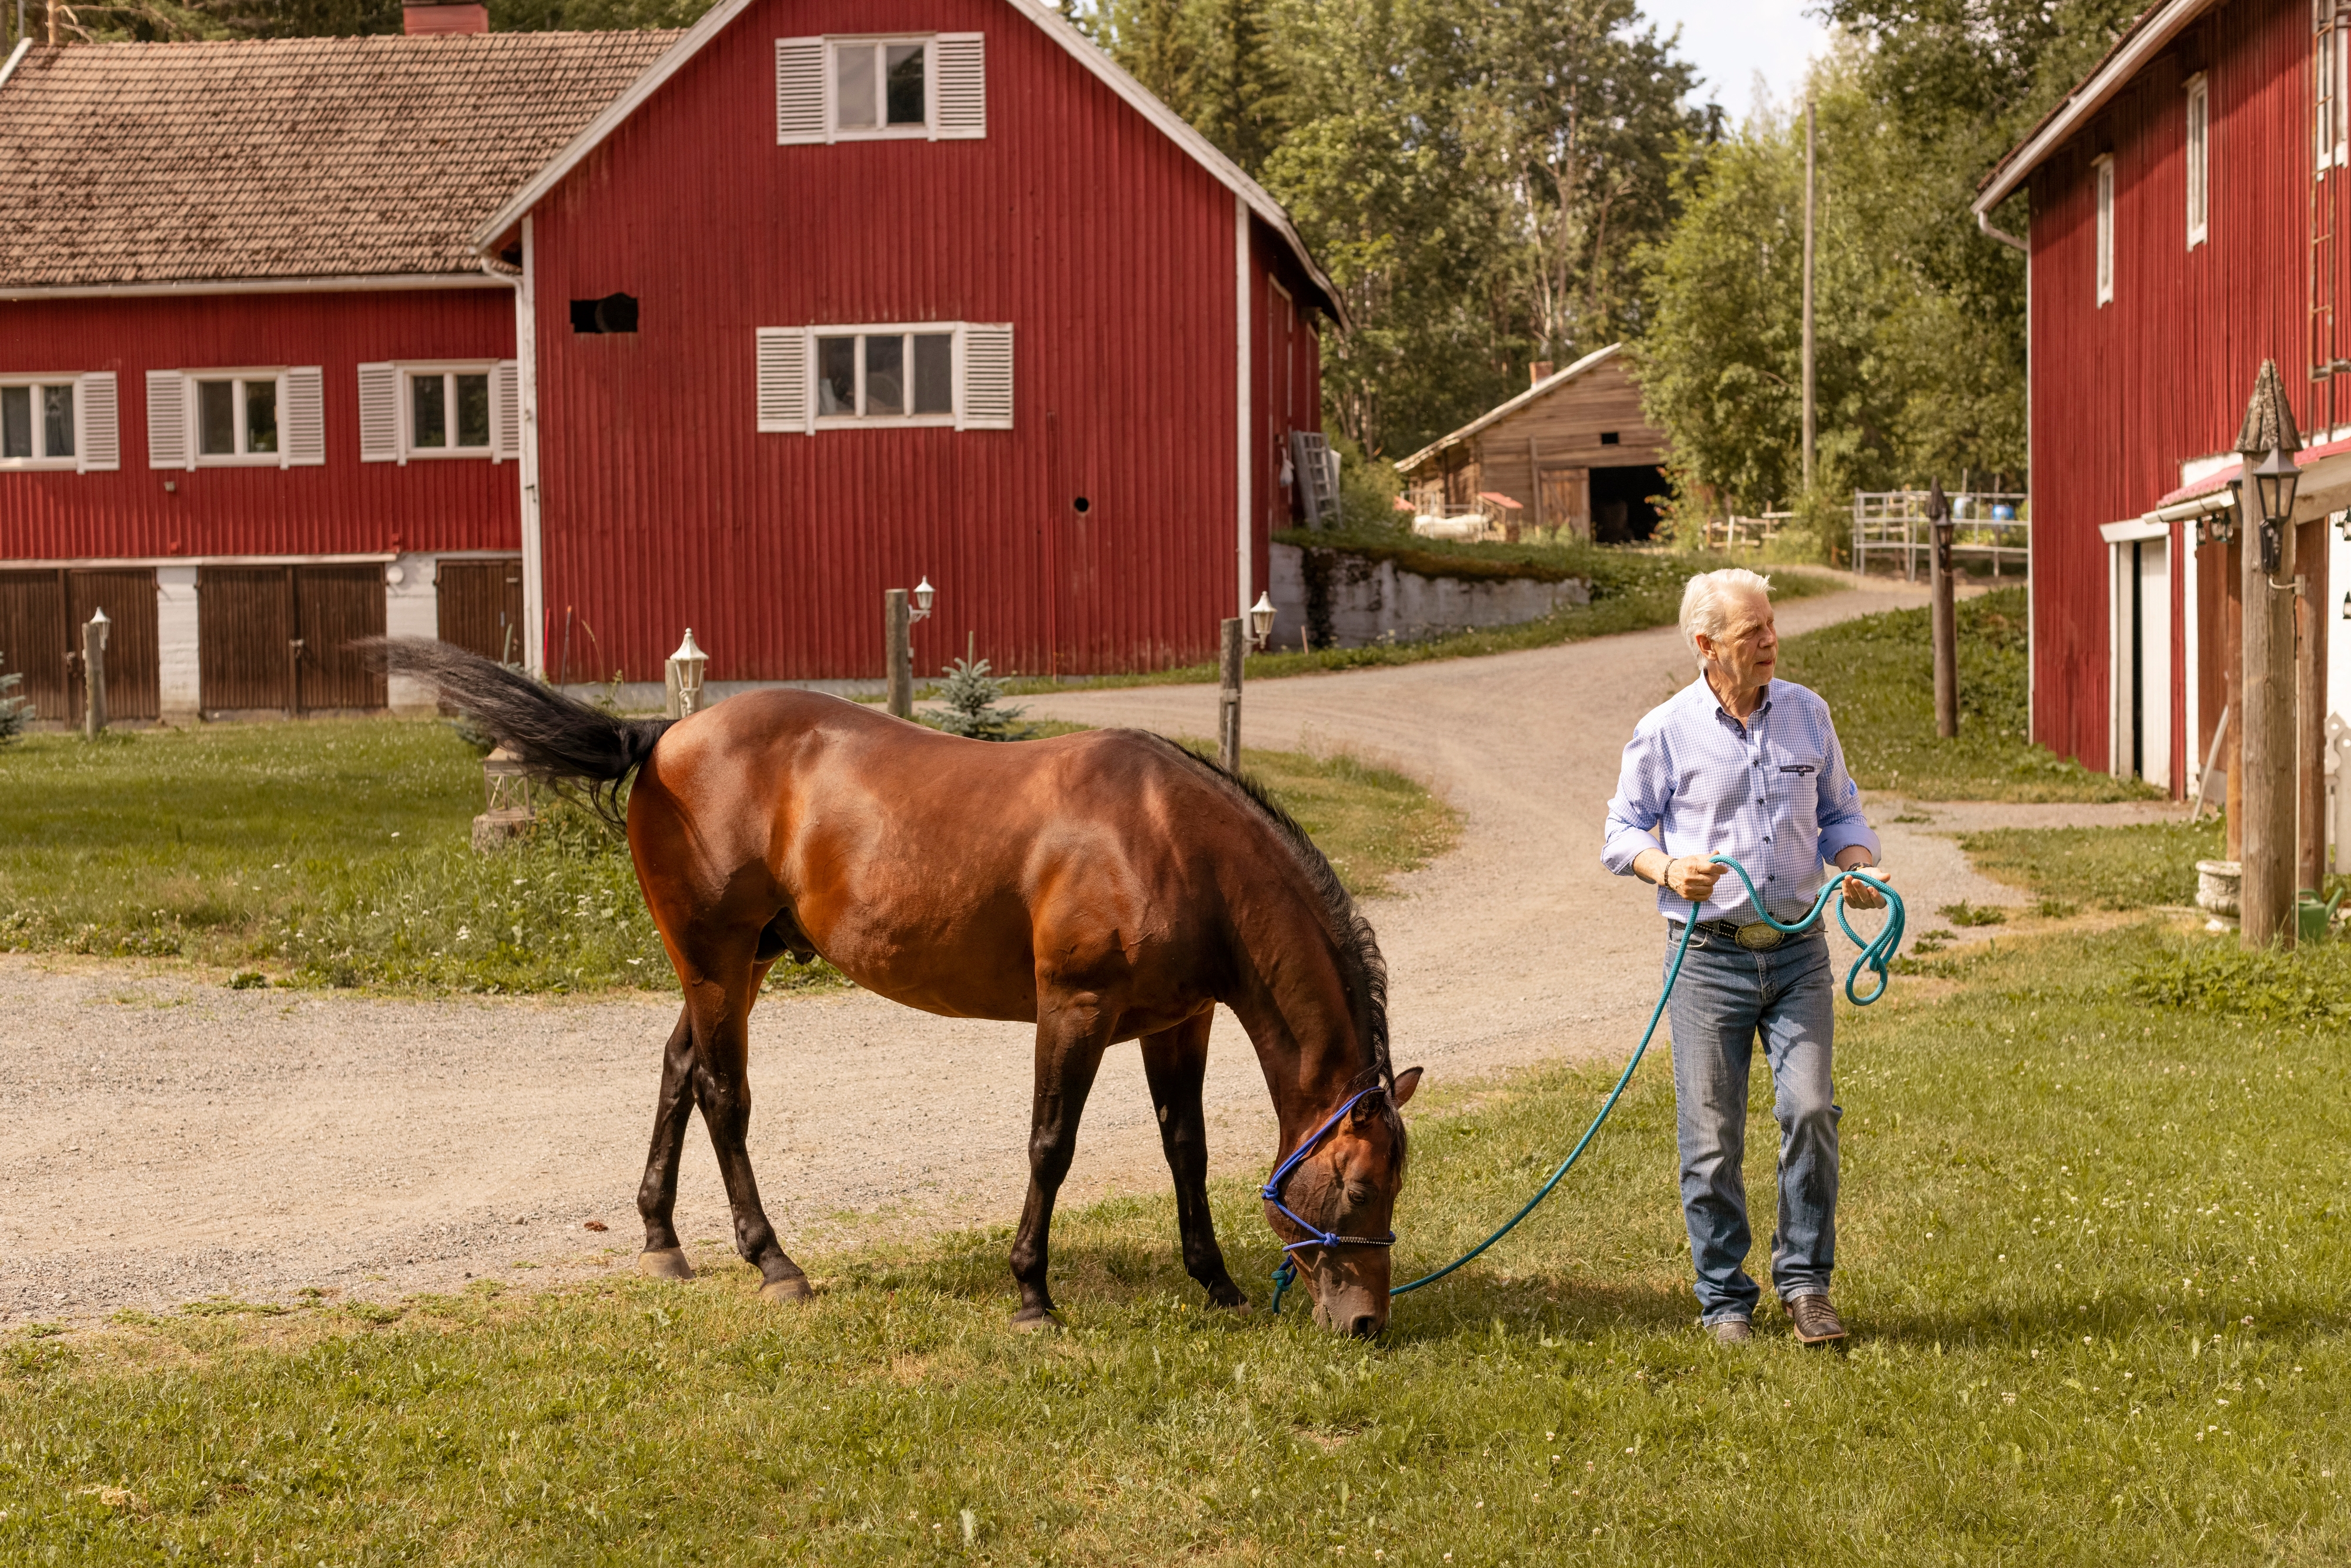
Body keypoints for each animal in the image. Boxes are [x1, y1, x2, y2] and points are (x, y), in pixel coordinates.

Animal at [376, 644, 1420, 1345]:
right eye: (1360, 1186)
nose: (1366, 1323)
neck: (1165, 838)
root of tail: (664, 732)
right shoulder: (1073, 1012)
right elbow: (1051, 1146)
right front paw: (1033, 1294)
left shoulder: (1180, 1023)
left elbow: (1186, 1151)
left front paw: (1216, 1284)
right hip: (714, 958)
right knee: (721, 1094)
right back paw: (775, 1262)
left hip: (741, 963)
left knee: (677, 1070)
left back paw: (662, 1240)